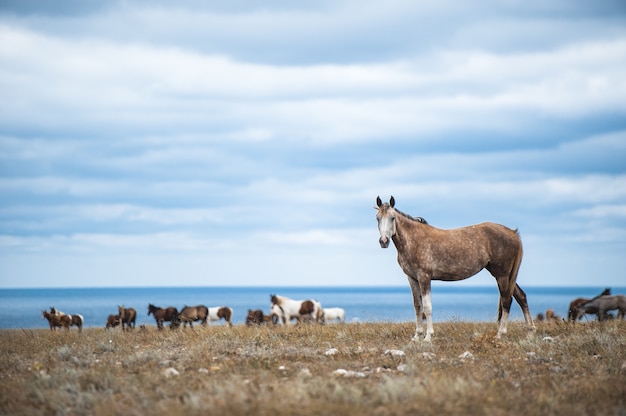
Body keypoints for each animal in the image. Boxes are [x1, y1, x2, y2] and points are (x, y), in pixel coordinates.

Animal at [372, 195, 532, 342]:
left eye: (392, 218)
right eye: (377, 218)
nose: (383, 241)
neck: (414, 240)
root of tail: (513, 233)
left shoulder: (424, 277)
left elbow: (427, 307)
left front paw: (428, 336)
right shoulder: (412, 278)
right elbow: (418, 306)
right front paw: (417, 336)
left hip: (502, 275)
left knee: (506, 300)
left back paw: (500, 334)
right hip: (503, 274)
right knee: (520, 296)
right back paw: (530, 331)